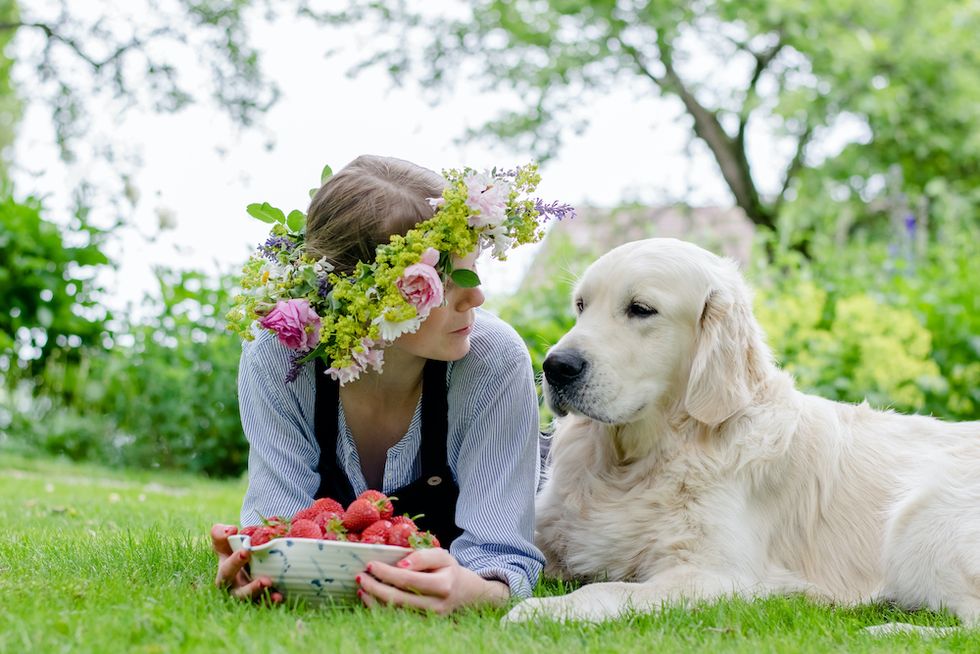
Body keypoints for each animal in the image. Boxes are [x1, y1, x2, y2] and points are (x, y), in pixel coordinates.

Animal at [506, 238, 980, 628]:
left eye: (640, 309)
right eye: (581, 306)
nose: (555, 366)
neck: (634, 463)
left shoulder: (717, 575)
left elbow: (606, 589)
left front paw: (542, 609)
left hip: (921, 524)